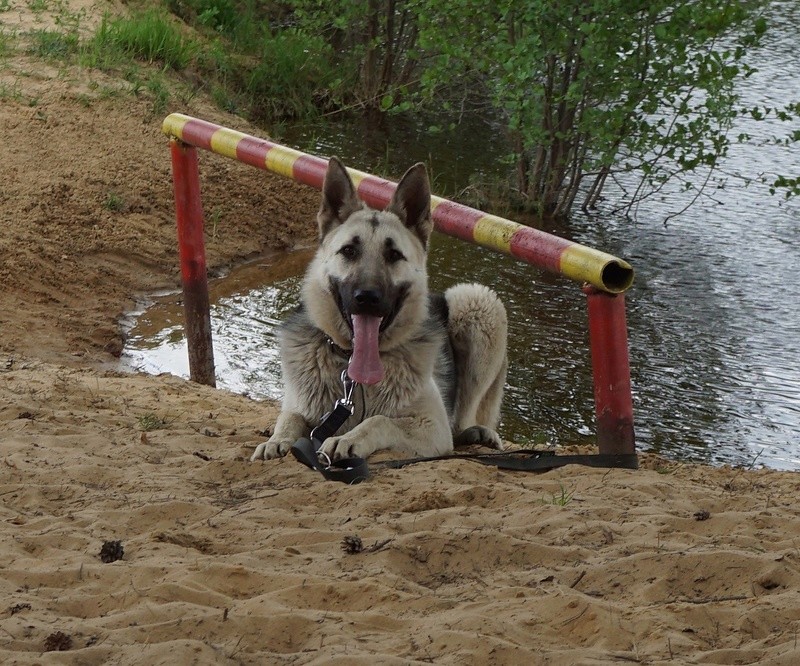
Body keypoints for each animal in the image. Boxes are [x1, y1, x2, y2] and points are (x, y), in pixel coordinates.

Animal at [252, 156, 506, 462]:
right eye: (349, 251)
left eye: (394, 255)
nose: (367, 297)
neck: (355, 383)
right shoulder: (300, 406)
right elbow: (289, 418)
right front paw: (277, 440)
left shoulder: (433, 426)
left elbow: (380, 420)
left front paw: (347, 439)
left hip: (476, 302)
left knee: (464, 419)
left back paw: (477, 432)